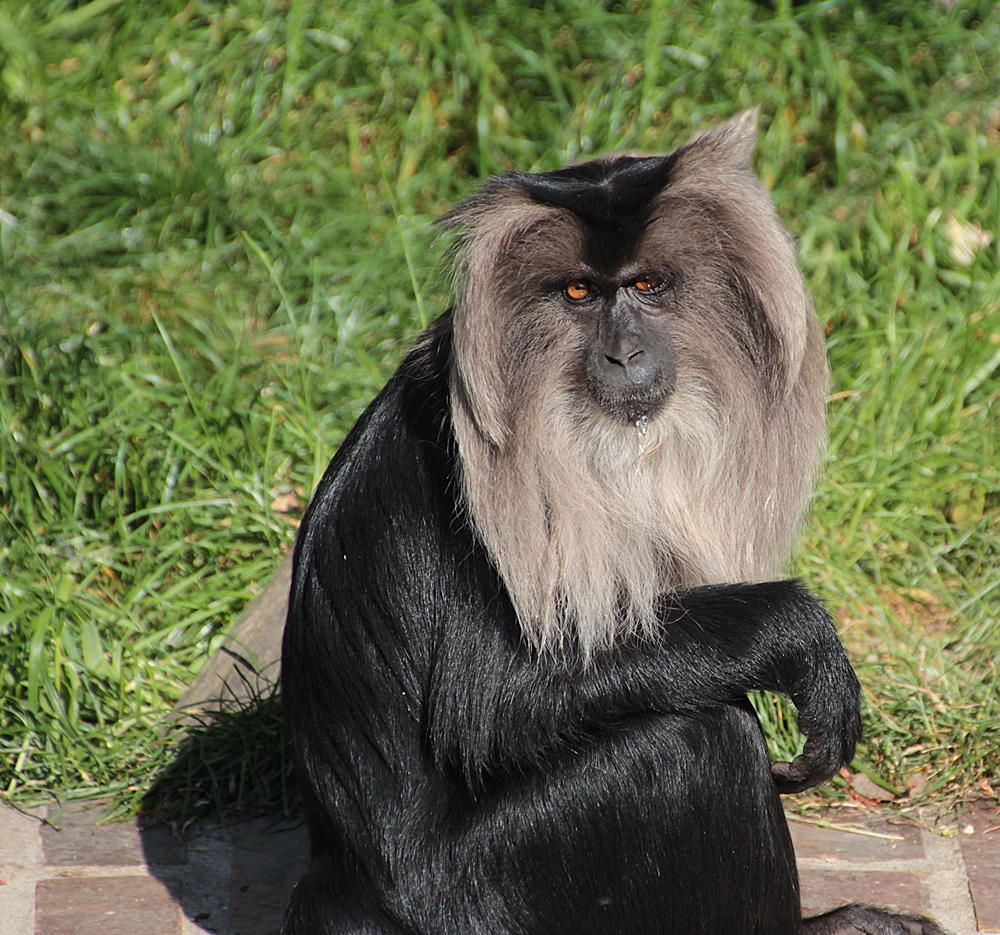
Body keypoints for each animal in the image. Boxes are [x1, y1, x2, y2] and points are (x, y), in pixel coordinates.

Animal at [280, 111, 944, 935]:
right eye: (577, 292)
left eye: (646, 286)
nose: (623, 354)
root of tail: (341, 889)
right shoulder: (466, 467)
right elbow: (491, 700)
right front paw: (800, 636)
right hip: (478, 893)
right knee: (701, 737)